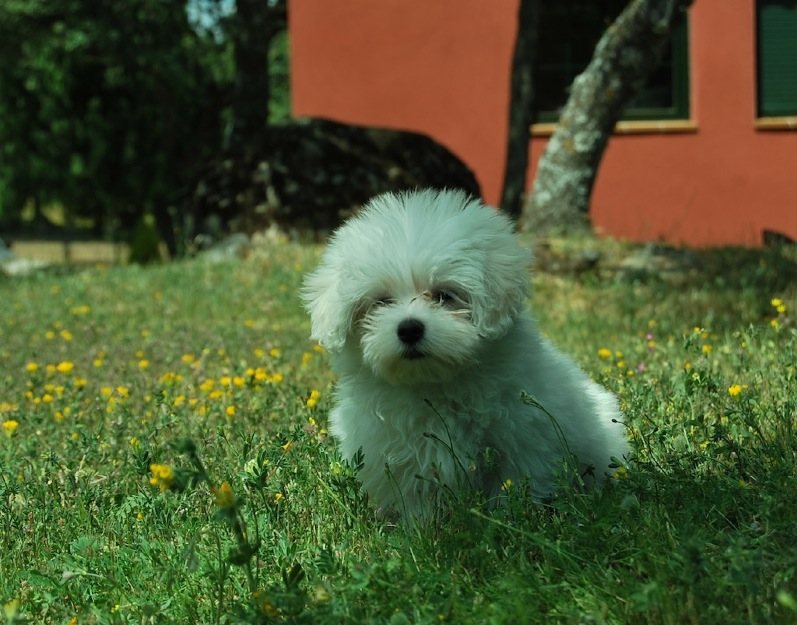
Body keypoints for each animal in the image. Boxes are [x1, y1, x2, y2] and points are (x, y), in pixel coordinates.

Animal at [304, 188, 628, 520]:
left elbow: (513, 483)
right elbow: (416, 496)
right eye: (381, 302)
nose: (409, 329)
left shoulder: (522, 439)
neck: (432, 385)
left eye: (444, 296)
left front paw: (510, 518)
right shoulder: (403, 456)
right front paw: (421, 528)